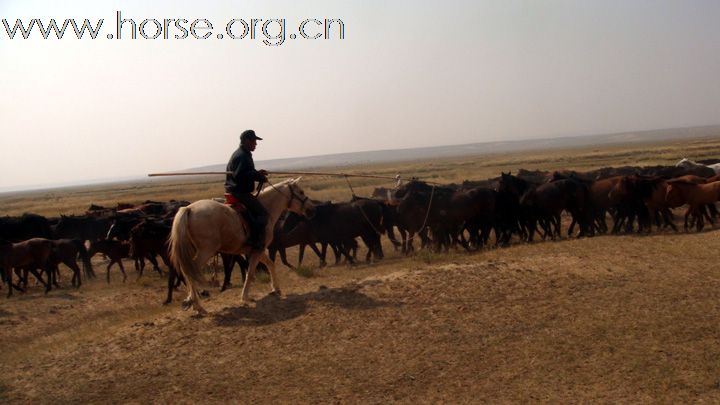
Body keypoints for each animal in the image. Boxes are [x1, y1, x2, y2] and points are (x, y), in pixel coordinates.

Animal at [170, 177, 316, 312]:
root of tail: (188, 209)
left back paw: (190, 300)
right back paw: (198, 306)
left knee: (187, 271)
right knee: (190, 271)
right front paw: (245, 297)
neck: (266, 208)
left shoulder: (255, 250)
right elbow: (250, 273)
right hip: (206, 251)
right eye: (301, 192)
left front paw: (276, 289)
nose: (311, 209)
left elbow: (270, 264)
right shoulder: (257, 250)